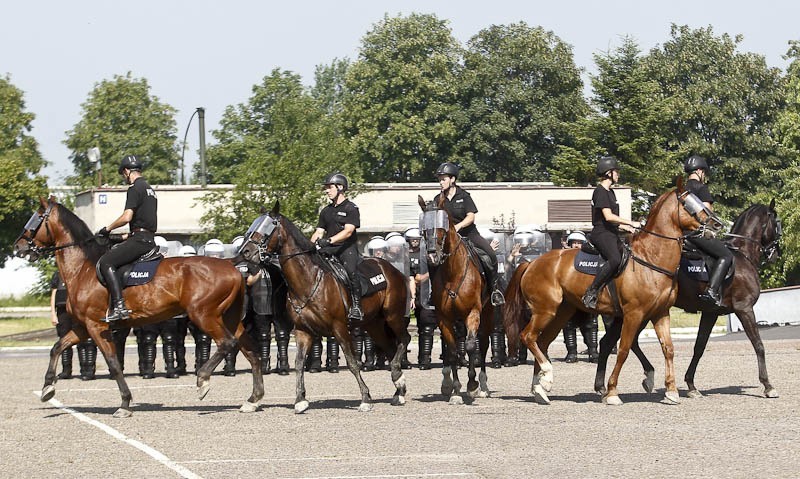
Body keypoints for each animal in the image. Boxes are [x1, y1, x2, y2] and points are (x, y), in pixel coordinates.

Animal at [13, 197, 262, 418]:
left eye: (35, 219)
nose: (19, 246)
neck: (83, 269)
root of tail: (232, 266)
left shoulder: (96, 327)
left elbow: (113, 364)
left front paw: (124, 404)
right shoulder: (83, 327)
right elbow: (56, 347)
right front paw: (48, 388)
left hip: (204, 315)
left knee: (227, 343)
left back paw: (203, 380)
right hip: (229, 317)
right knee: (251, 351)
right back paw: (253, 399)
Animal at [236, 202, 412, 412]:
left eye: (268, 228)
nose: (244, 252)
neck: (308, 281)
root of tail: (393, 269)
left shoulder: (339, 328)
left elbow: (352, 363)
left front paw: (365, 398)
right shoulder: (302, 330)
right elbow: (299, 363)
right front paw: (300, 399)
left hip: (392, 316)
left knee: (404, 339)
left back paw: (397, 381)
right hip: (374, 325)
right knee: (391, 348)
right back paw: (399, 388)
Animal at [418, 196, 494, 404]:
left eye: (442, 227)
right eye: (424, 228)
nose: (432, 255)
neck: (453, 272)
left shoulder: (473, 313)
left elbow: (470, 345)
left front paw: (472, 386)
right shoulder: (444, 318)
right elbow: (452, 351)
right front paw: (456, 391)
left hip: (487, 315)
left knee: (483, 344)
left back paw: (483, 385)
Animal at [500, 182, 712, 406]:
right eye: (689, 203)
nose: (715, 225)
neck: (651, 258)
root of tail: (531, 263)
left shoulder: (660, 313)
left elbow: (668, 349)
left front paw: (671, 392)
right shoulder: (633, 314)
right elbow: (623, 350)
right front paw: (612, 392)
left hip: (560, 313)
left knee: (541, 342)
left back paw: (540, 388)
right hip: (545, 311)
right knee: (528, 336)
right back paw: (546, 376)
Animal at [592, 201, 780, 400]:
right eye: (778, 223)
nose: (775, 254)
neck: (742, 256)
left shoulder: (710, 313)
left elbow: (699, 347)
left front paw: (691, 385)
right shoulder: (744, 308)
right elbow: (758, 345)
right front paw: (768, 385)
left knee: (611, 342)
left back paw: (605, 386)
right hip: (641, 311)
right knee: (626, 341)